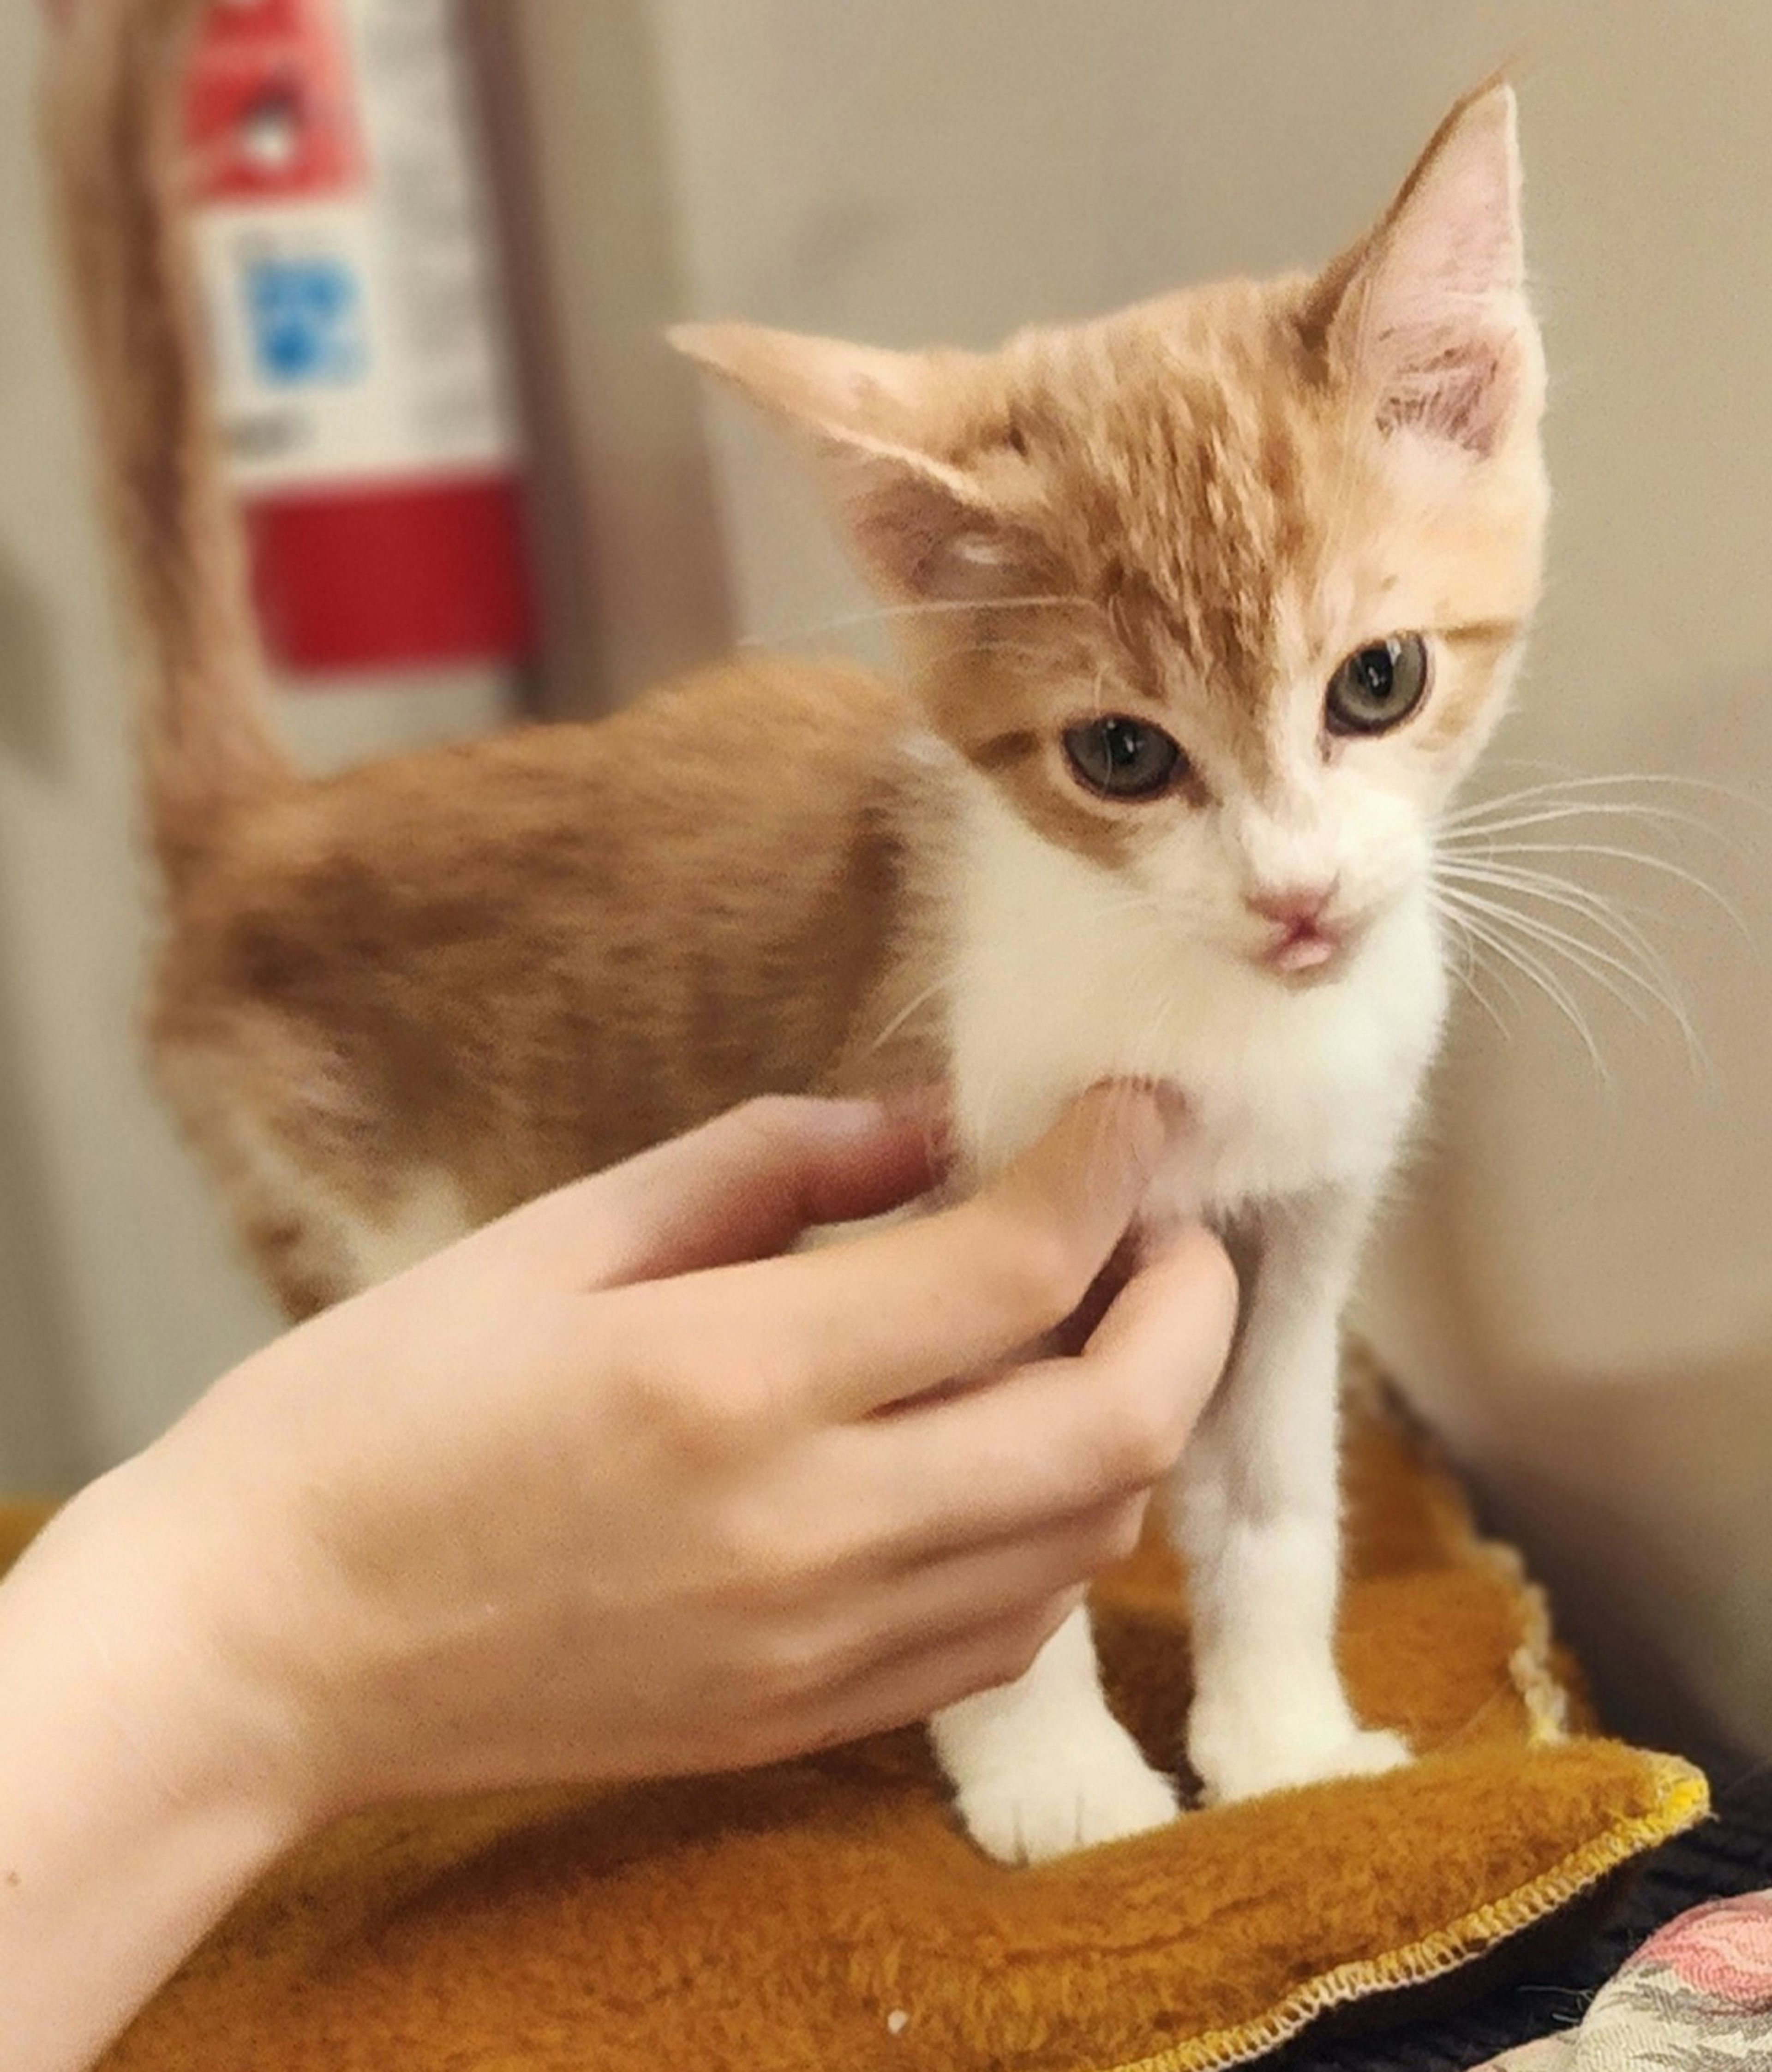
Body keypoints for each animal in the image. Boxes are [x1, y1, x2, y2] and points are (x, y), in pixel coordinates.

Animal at [45, 4, 1542, 1864]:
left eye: (1377, 679)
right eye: (1123, 755)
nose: (1296, 897)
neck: (1210, 1016)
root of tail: (275, 822)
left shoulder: (1306, 1220)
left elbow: (1274, 1499)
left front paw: (1285, 1750)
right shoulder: (894, 1200)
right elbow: (981, 1532)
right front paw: (1059, 1782)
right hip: (356, 1214)